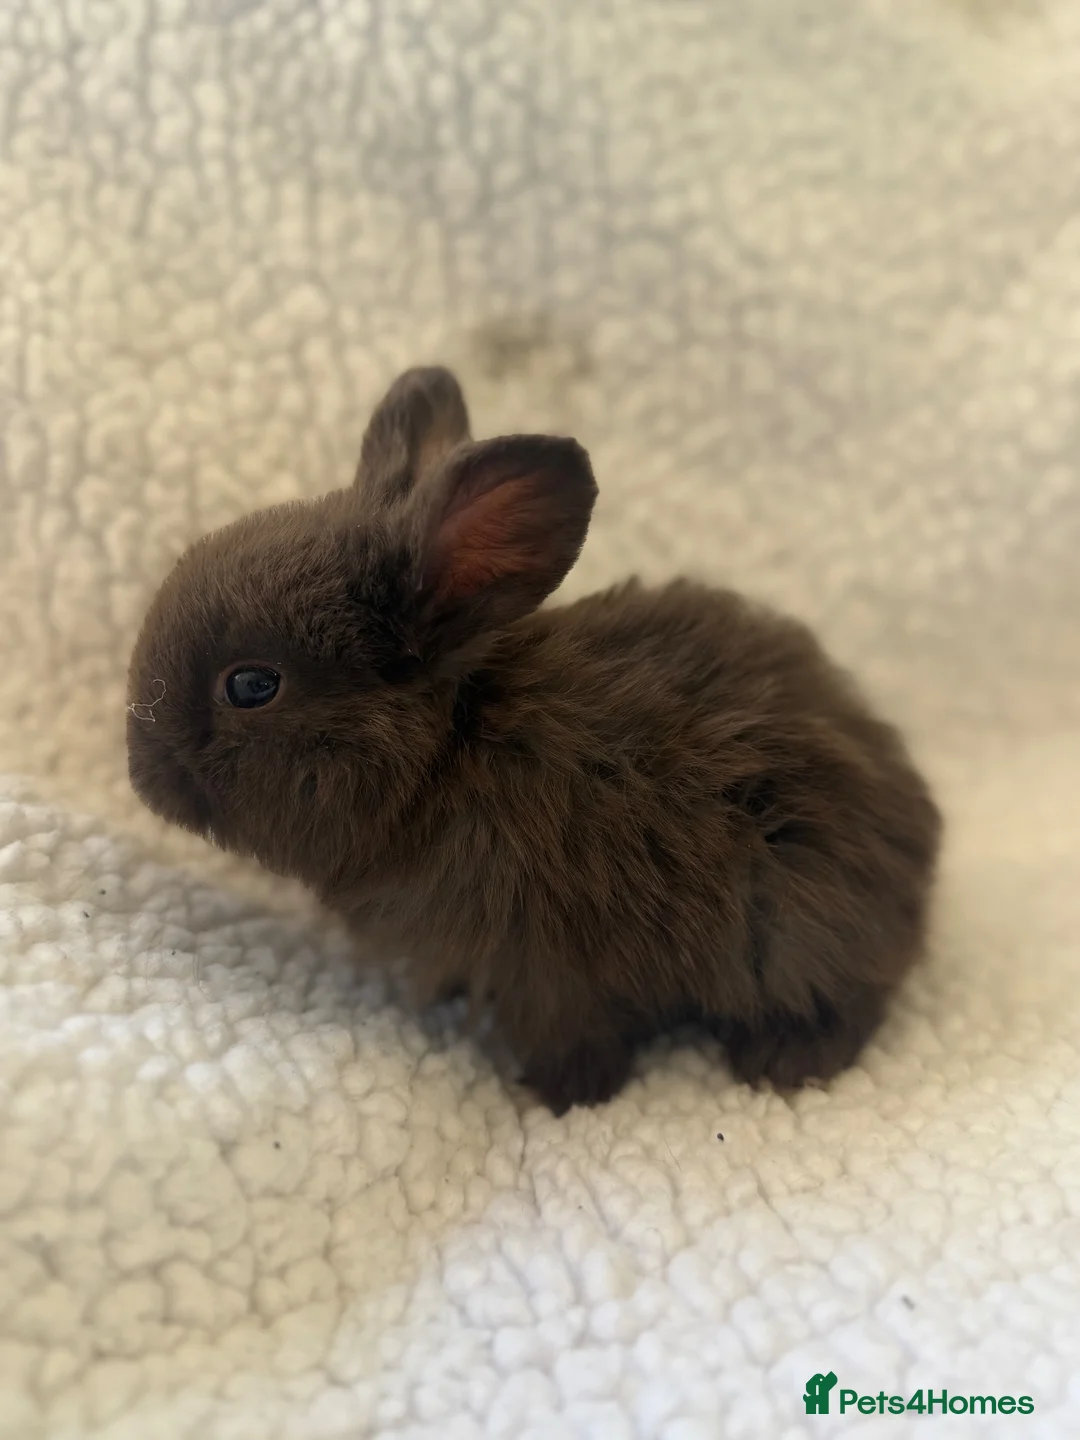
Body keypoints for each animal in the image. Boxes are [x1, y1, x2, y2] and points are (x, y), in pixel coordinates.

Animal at [127, 364, 942, 1115]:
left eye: (251, 685)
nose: (141, 778)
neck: (447, 757)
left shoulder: (550, 971)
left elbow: (579, 1045)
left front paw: (548, 1100)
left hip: (795, 921)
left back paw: (782, 1061)